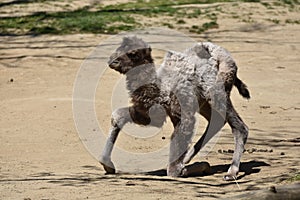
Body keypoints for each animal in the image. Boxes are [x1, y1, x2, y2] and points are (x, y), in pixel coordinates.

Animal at [99, 36, 250, 181]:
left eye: (133, 53)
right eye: (119, 47)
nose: (112, 61)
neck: (161, 88)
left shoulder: (181, 111)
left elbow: (173, 169)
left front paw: (199, 167)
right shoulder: (153, 113)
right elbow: (118, 115)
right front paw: (107, 164)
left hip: (216, 92)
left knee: (239, 126)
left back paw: (231, 173)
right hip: (203, 101)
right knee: (217, 121)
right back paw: (189, 157)